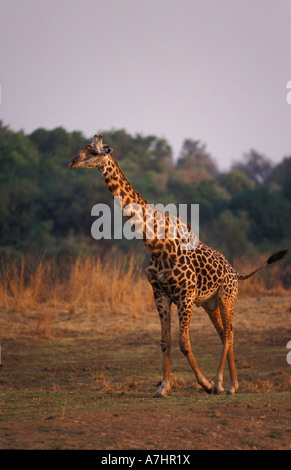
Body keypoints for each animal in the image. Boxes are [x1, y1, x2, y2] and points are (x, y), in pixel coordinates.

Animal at [70, 135, 290, 396]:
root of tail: (236, 273)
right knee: (225, 333)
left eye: (94, 152)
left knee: (229, 333)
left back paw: (221, 383)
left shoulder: (185, 295)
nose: (73, 162)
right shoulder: (160, 294)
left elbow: (184, 342)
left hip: (227, 297)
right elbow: (165, 341)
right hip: (210, 304)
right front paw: (163, 387)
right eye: (83, 148)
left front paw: (205, 383)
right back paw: (232, 384)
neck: (154, 243)